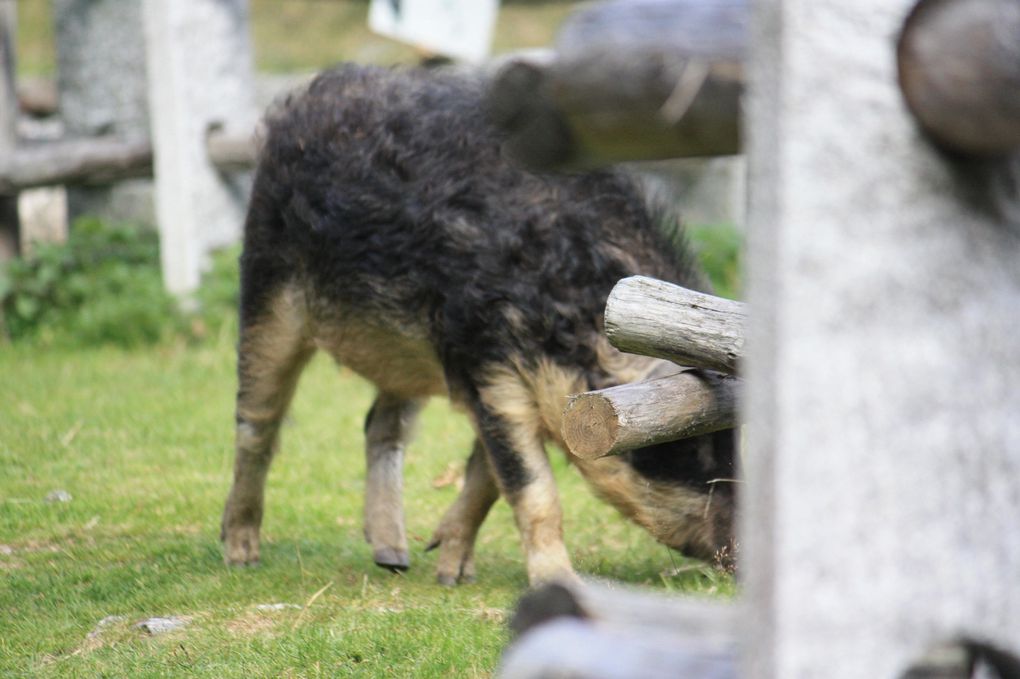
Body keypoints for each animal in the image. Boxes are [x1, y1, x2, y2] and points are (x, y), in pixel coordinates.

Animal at [221, 62, 734, 583]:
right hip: (267, 286)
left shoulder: (483, 379)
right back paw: (241, 554)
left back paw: (394, 558)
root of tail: (304, 99)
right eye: (691, 450)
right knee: (256, 423)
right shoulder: (489, 363)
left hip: (408, 355)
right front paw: (557, 583)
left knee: (380, 425)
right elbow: (532, 487)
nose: (737, 555)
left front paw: (452, 573)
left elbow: (486, 476)